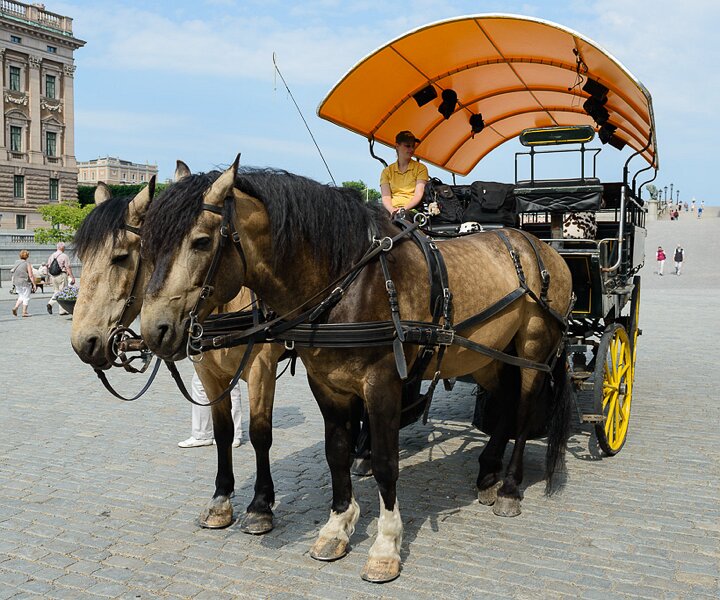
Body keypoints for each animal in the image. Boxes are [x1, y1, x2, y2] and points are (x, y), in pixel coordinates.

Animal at [70, 164, 285, 534]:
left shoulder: (261, 369)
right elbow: (223, 431)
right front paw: (221, 499)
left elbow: (260, 434)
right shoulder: (208, 371)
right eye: (82, 257)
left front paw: (260, 505)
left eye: (121, 257)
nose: (83, 341)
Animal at [139, 158, 575, 583]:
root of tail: (537, 245)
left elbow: (384, 461)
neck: (348, 283)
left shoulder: (380, 385)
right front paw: (336, 527)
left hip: (533, 348)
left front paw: (385, 546)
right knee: (503, 400)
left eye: (201, 241)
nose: (153, 329)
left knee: (522, 412)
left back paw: (509, 488)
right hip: (488, 355)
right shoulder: (325, 384)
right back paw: (487, 474)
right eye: (147, 245)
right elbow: (336, 452)